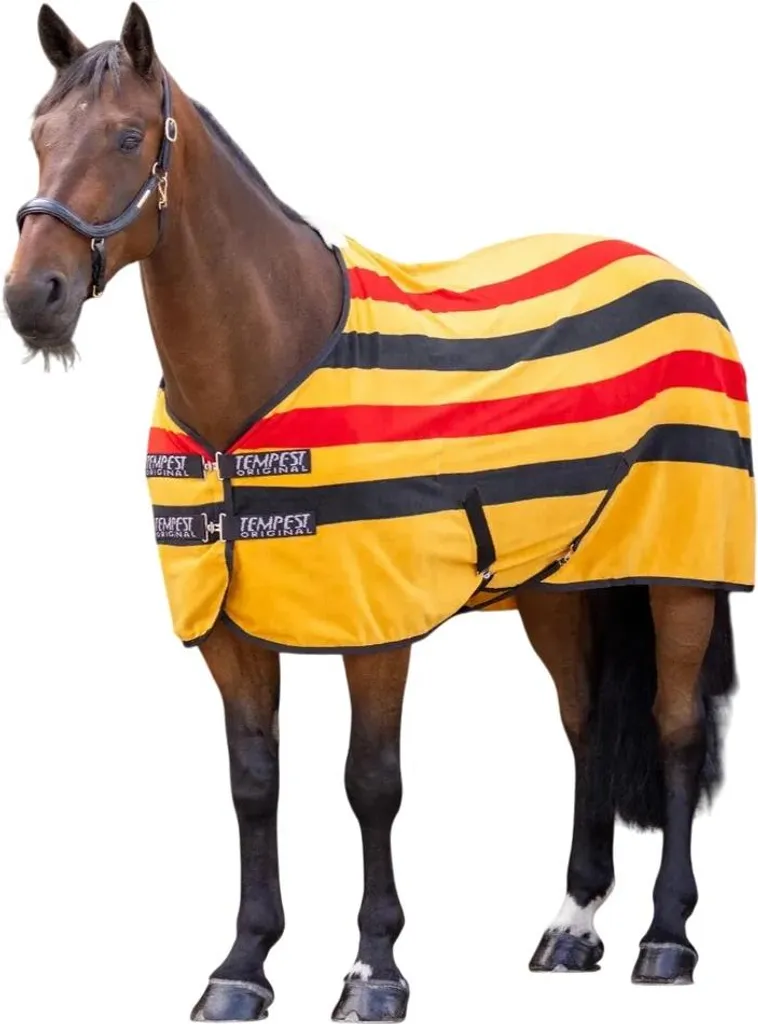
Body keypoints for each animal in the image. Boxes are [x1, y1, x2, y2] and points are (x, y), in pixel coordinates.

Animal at [4, 5, 754, 1021]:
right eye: (38, 137)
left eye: (126, 138)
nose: (31, 297)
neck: (259, 384)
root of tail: (679, 282)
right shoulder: (229, 635)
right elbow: (254, 785)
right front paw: (241, 967)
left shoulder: (376, 629)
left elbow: (372, 785)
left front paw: (375, 968)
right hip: (559, 589)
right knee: (589, 723)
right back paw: (572, 926)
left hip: (682, 578)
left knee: (675, 728)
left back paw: (667, 938)